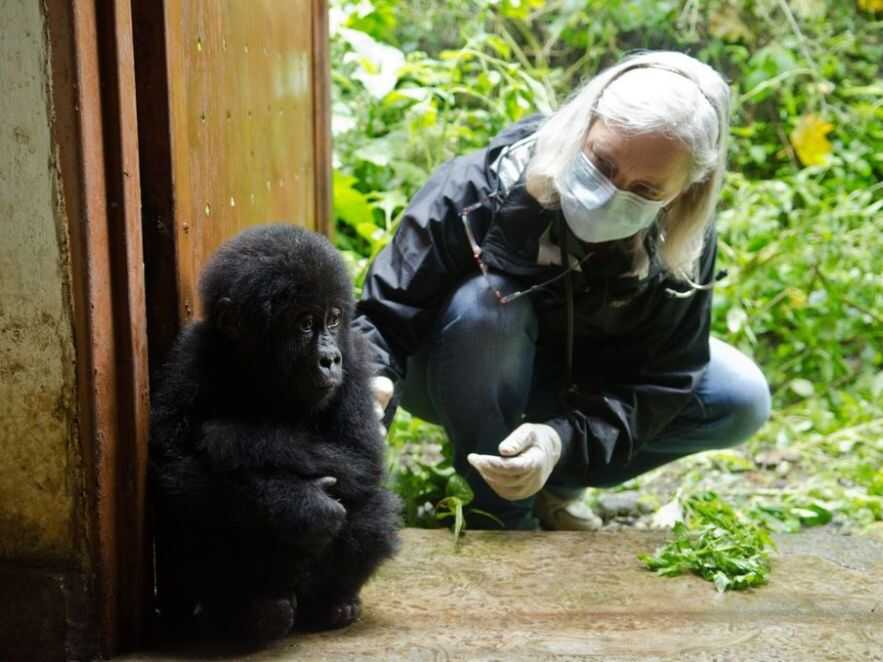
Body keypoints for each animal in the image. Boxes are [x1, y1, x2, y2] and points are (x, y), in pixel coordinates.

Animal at [151, 223, 400, 644]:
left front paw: (234, 438)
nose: (329, 358)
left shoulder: (355, 357)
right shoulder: (190, 356)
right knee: (191, 509)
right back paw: (251, 612)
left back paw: (333, 603)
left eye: (334, 319)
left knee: (374, 507)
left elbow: (361, 458)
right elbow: (176, 468)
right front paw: (301, 504)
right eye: (304, 323)